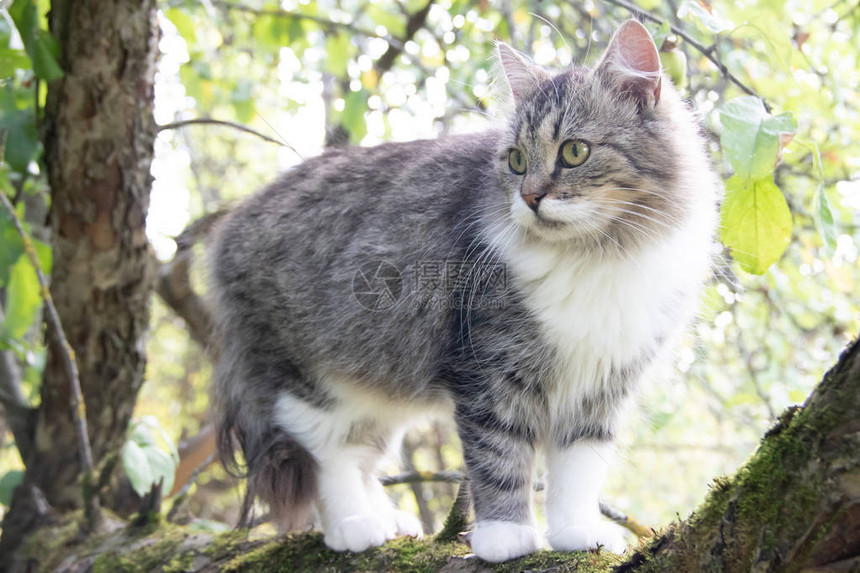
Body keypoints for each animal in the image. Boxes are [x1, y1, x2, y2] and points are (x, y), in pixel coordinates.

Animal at [208, 20, 720, 560]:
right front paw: (505, 535)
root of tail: (231, 223)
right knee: (327, 455)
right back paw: (354, 526)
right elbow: (499, 457)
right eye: (516, 161)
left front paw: (575, 533)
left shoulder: (603, 384)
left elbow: (578, 468)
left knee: (361, 454)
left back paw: (388, 520)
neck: (597, 258)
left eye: (574, 152)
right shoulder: (491, 368)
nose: (530, 197)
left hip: (381, 382)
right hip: (306, 380)